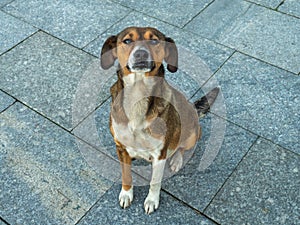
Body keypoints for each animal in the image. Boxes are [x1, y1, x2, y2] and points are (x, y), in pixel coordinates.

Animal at [100, 26, 218, 214]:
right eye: (127, 41)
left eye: (154, 40)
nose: (141, 53)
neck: (138, 95)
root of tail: (193, 108)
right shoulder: (121, 148)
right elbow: (126, 174)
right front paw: (126, 194)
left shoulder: (159, 154)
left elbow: (155, 182)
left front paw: (151, 201)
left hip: (192, 133)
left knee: (182, 147)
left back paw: (177, 160)